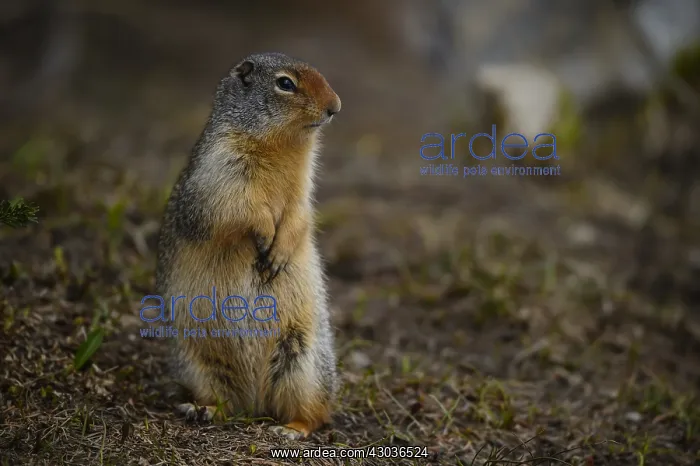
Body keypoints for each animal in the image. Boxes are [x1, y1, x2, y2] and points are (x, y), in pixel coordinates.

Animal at [155, 52, 341, 440]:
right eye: (285, 83)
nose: (336, 107)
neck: (283, 147)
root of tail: (255, 403)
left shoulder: (303, 189)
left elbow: (299, 216)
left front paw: (279, 252)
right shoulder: (221, 168)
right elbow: (241, 207)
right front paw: (265, 233)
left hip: (303, 363)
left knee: (316, 413)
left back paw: (291, 429)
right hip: (197, 363)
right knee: (228, 403)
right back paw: (201, 409)